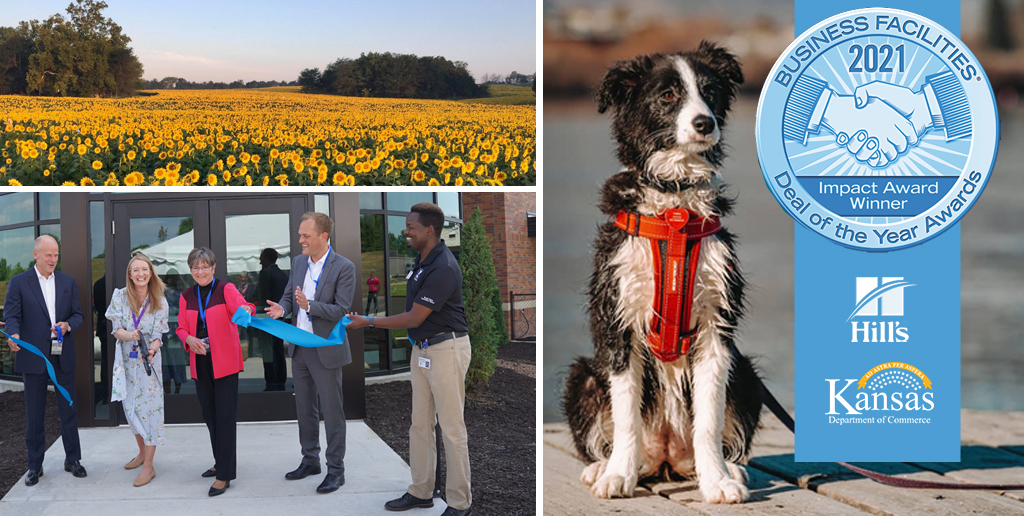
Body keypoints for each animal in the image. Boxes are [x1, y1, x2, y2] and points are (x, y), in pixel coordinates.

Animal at [565, 43, 765, 503]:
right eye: (669, 95)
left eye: (709, 92)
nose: (704, 123)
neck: (674, 206)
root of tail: (666, 457)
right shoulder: (618, 323)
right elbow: (625, 415)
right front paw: (617, 475)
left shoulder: (716, 327)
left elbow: (708, 419)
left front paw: (717, 482)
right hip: (583, 376)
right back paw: (606, 466)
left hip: (746, 374)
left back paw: (728, 468)